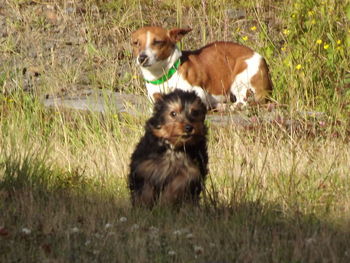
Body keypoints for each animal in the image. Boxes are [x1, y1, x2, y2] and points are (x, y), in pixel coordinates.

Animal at [131, 26, 270, 110]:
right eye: (136, 43)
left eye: (157, 42)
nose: (142, 58)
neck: (163, 74)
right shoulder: (154, 96)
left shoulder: (198, 93)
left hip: (240, 78)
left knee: (243, 102)